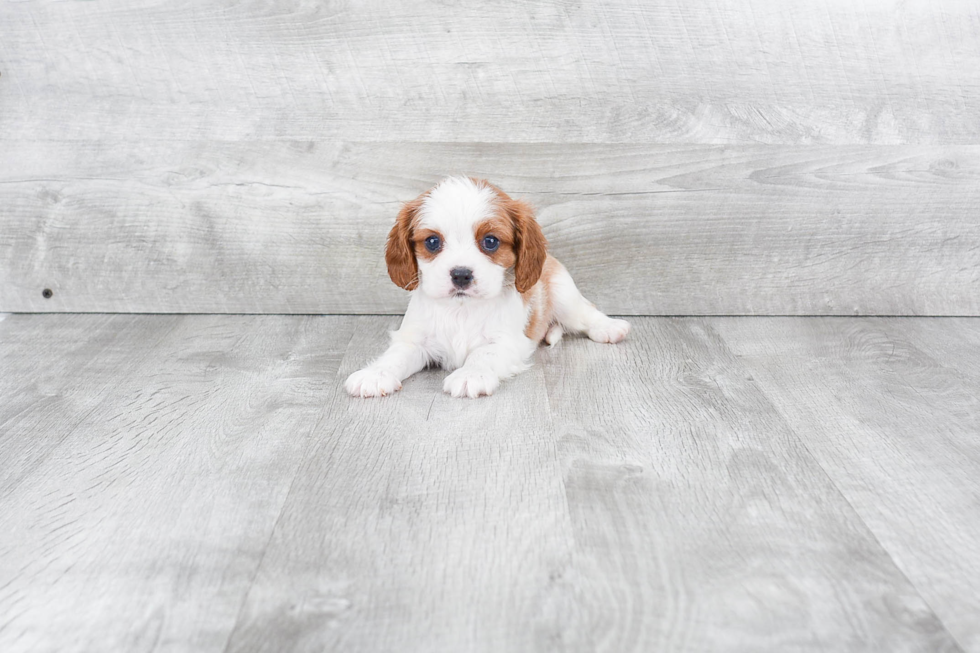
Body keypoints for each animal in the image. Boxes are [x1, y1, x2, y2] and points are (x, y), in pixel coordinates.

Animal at [344, 174, 628, 398]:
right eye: (433, 242)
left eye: (490, 241)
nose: (461, 274)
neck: (461, 309)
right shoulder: (414, 340)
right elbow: (395, 356)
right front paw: (375, 374)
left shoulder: (506, 342)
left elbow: (483, 354)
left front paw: (471, 375)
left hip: (563, 295)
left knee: (586, 312)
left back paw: (609, 327)